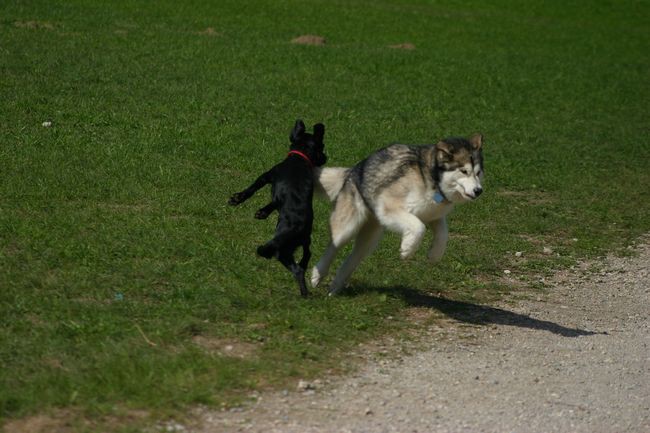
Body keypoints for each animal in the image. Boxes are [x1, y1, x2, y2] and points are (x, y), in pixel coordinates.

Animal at [230, 120, 326, 296]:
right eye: (322, 147)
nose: (325, 158)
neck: (299, 157)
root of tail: (297, 229)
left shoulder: (267, 176)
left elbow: (253, 190)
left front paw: (240, 200)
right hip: (303, 242)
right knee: (307, 255)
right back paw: (304, 276)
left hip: (282, 251)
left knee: (296, 270)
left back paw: (304, 293)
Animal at [312, 133, 484, 296]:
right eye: (464, 171)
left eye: (478, 173)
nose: (479, 191)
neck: (430, 177)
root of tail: (354, 169)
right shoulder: (389, 207)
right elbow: (418, 227)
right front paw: (407, 249)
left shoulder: (433, 214)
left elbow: (443, 234)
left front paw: (434, 254)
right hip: (348, 227)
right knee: (333, 247)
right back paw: (317, 275)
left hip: (371, 238)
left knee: (353, 257)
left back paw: (336, 286)